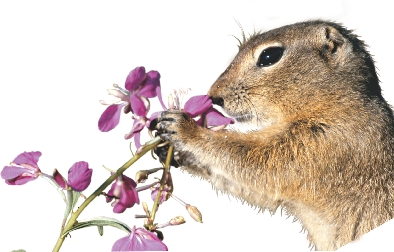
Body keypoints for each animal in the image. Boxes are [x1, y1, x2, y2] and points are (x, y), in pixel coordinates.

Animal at [155, 20, 394, 251]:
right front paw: (168, 151)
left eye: (269, 56)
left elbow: (257, 162)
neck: (339, 103)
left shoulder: (323, 144)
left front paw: (184, 128)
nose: (213, 96)